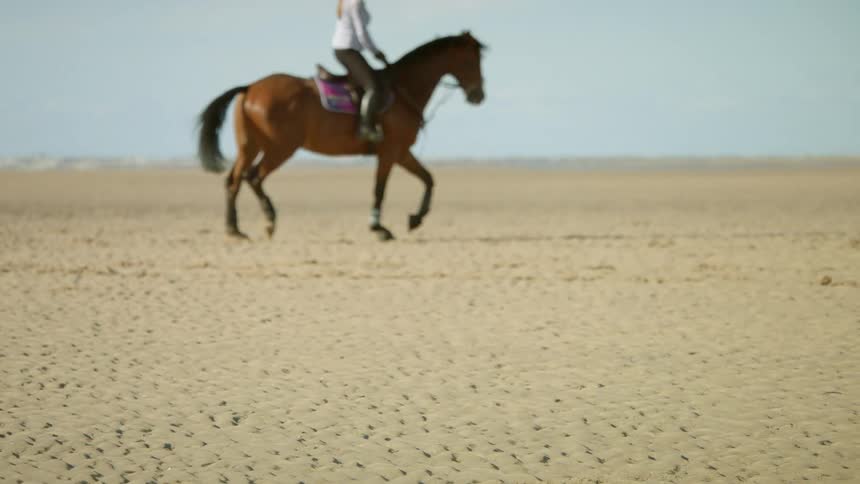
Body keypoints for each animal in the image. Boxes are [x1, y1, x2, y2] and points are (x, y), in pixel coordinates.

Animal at [197, 31, 487, 241]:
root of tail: (250, 88)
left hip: (250, 146)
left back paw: (235, 230)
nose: (478, 95)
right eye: (469, 61)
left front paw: (415, 219)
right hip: (280, 148)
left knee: (233, 180)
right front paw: (379, 228)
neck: (403, 90)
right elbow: (380, 189)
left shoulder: (402, 152)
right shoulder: (390, 152)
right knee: (254, 177)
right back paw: (269, 221)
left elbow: (428, 179)